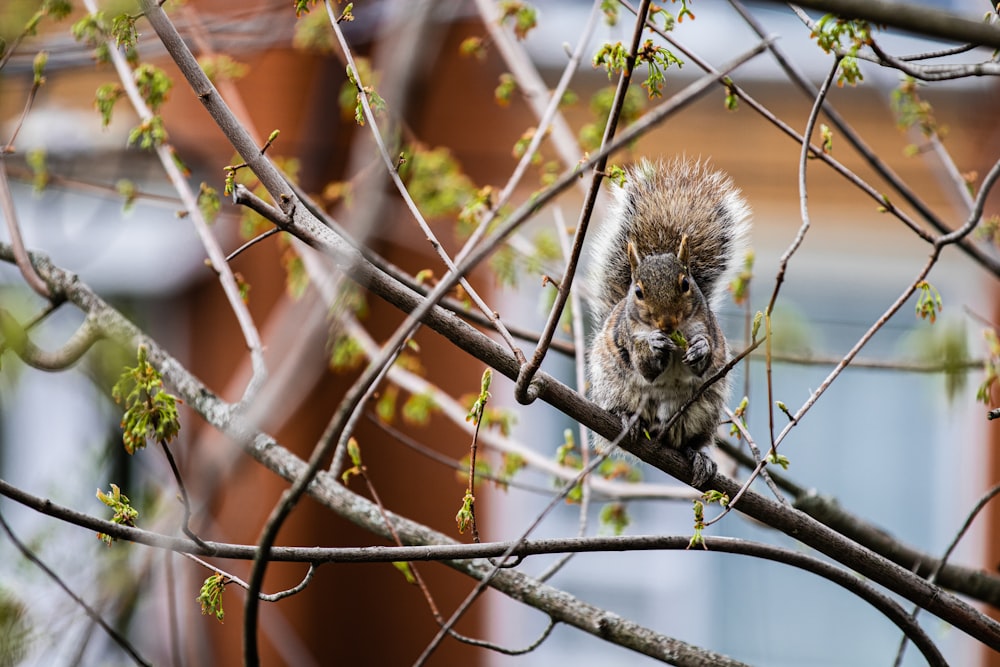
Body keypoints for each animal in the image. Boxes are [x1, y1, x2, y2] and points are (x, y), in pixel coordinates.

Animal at [584, 159, 752, 488]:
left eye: (686, 284)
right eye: (637, 292)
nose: (666, 322)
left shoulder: (708, 328)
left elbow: (704, 359)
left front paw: (699, 349)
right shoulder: (627, 337)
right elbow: (644, 367)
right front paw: (653, 345)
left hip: (703, 412)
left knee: (693, 441)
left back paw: (698, 456)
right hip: (612, 388)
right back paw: (627, 419)